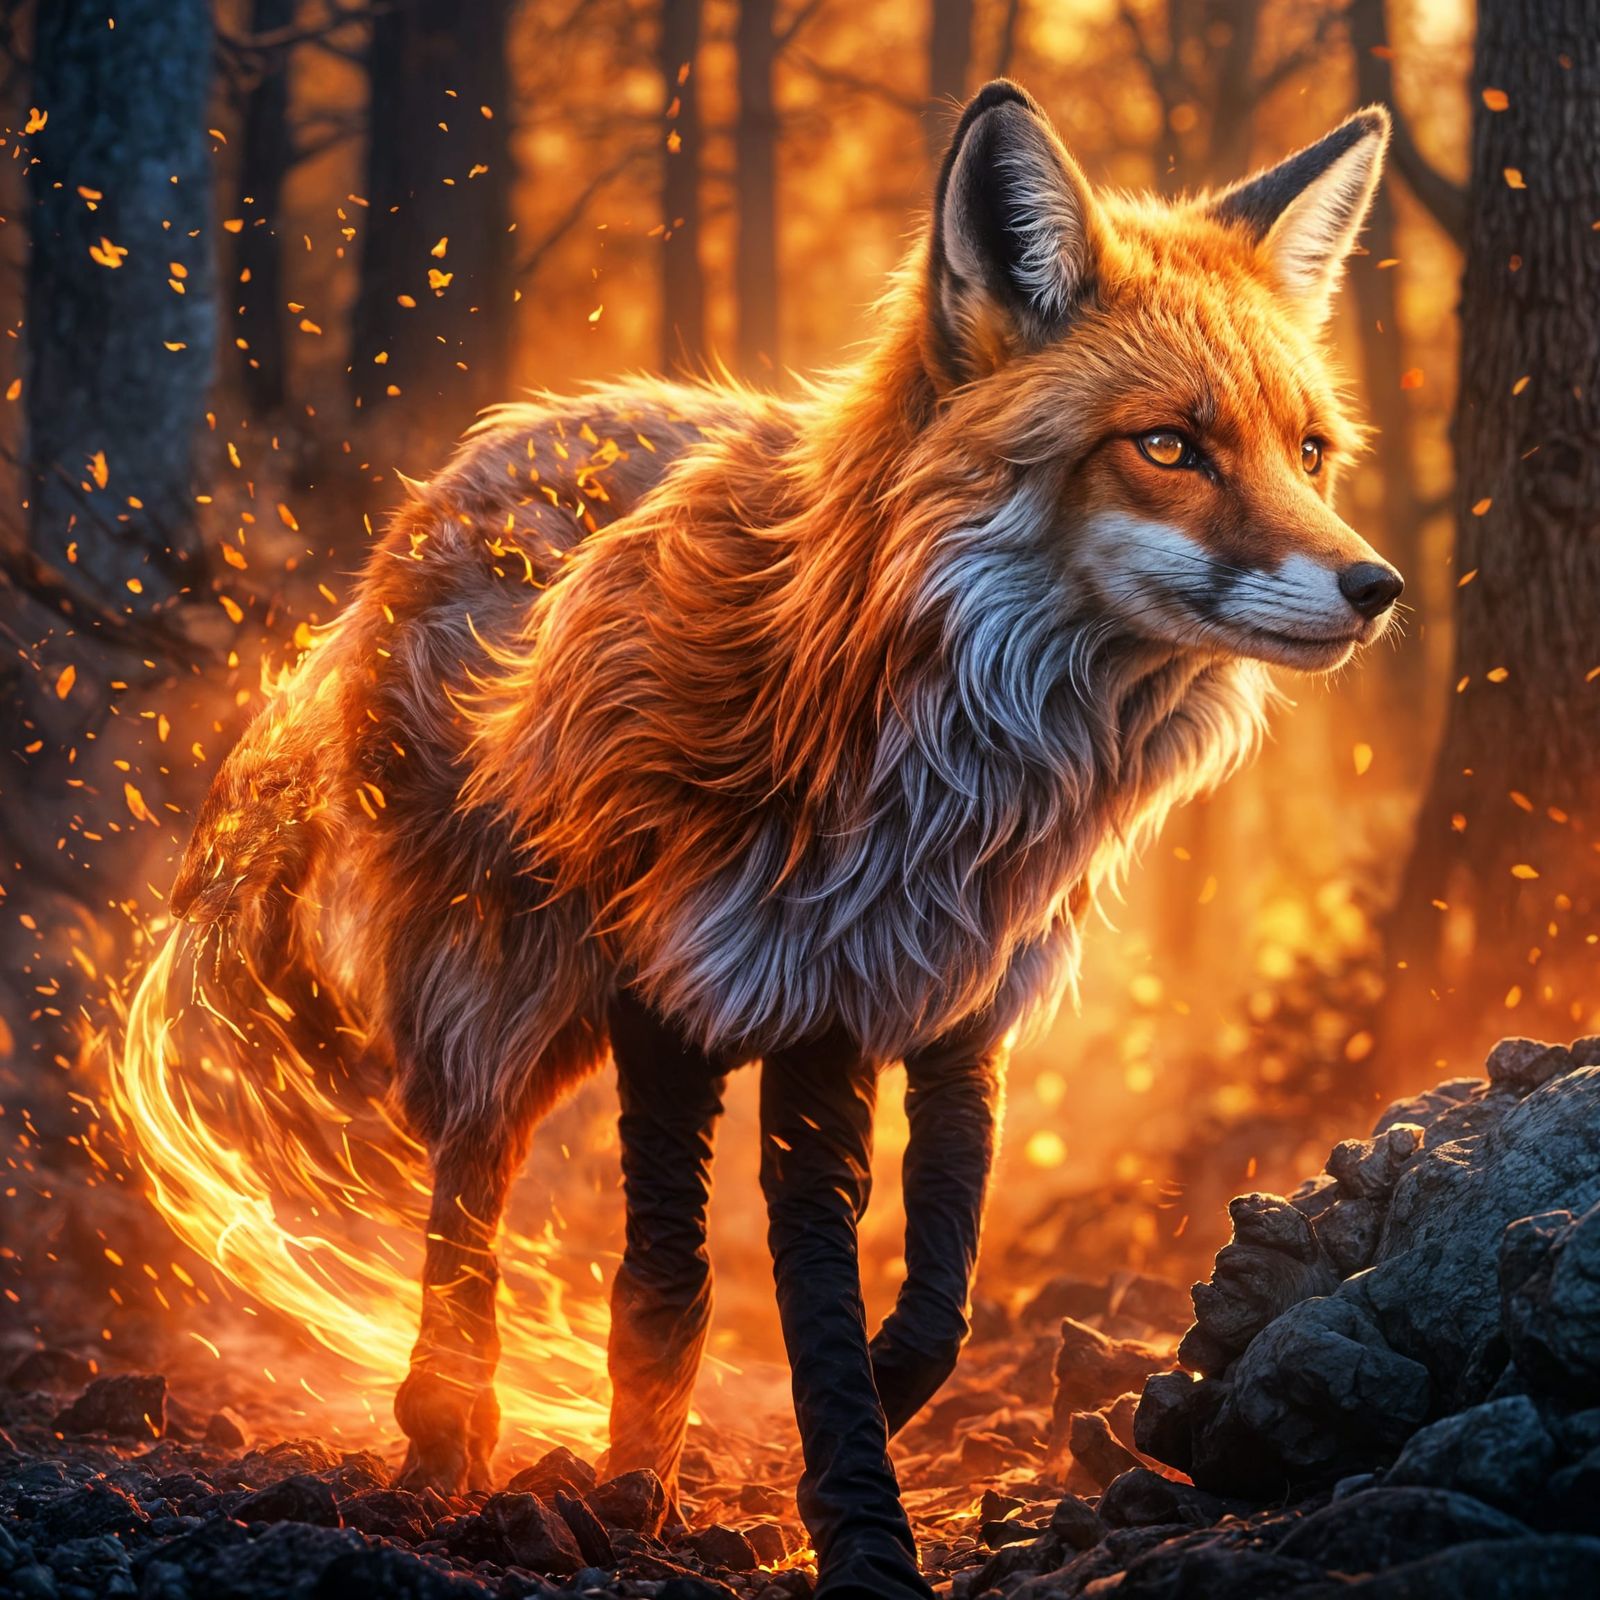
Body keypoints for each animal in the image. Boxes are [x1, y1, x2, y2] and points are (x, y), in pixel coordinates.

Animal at [166, 82, 1399, 1600]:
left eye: (1308, 452)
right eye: (1169, 446)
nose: (1375, 587)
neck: (955, 789)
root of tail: (484, 445)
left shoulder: (950, 1001)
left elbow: (938, 1292)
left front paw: (872, 1408)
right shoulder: (755, 991)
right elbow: (727, 1275)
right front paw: (839, 1519)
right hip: (533, 988)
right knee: (486, 1194)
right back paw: (465, 1440)